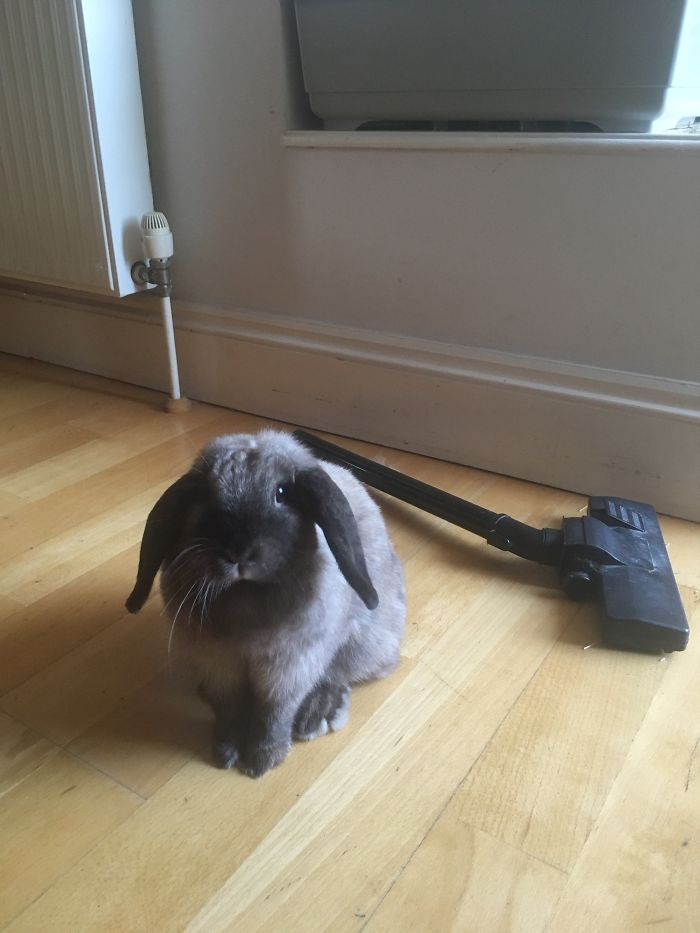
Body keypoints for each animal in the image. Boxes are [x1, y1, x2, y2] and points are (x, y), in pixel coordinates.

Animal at [125, 429, 406, 778]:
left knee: (338, 676)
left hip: (364, 646)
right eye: (205, 495)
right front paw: (226, 752)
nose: (238, 552)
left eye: (282, 493)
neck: (246, 597)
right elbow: (228, 707)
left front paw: (262, 762)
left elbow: (274, 713)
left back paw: (317, 714)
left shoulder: (290, 667)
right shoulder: (218, 665)